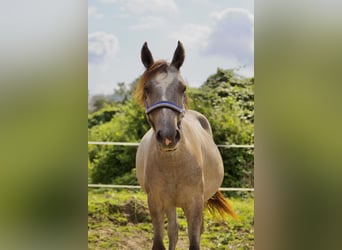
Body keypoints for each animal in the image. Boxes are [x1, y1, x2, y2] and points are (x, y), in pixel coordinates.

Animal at [135, 41, 236, 250]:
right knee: (173, 231)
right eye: (147, 88)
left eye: (183, 88)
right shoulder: (155, 202)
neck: (174, 162)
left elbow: (194, 241)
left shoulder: (195, 204)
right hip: (170, 204)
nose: (168, 136)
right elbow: (161, 241)